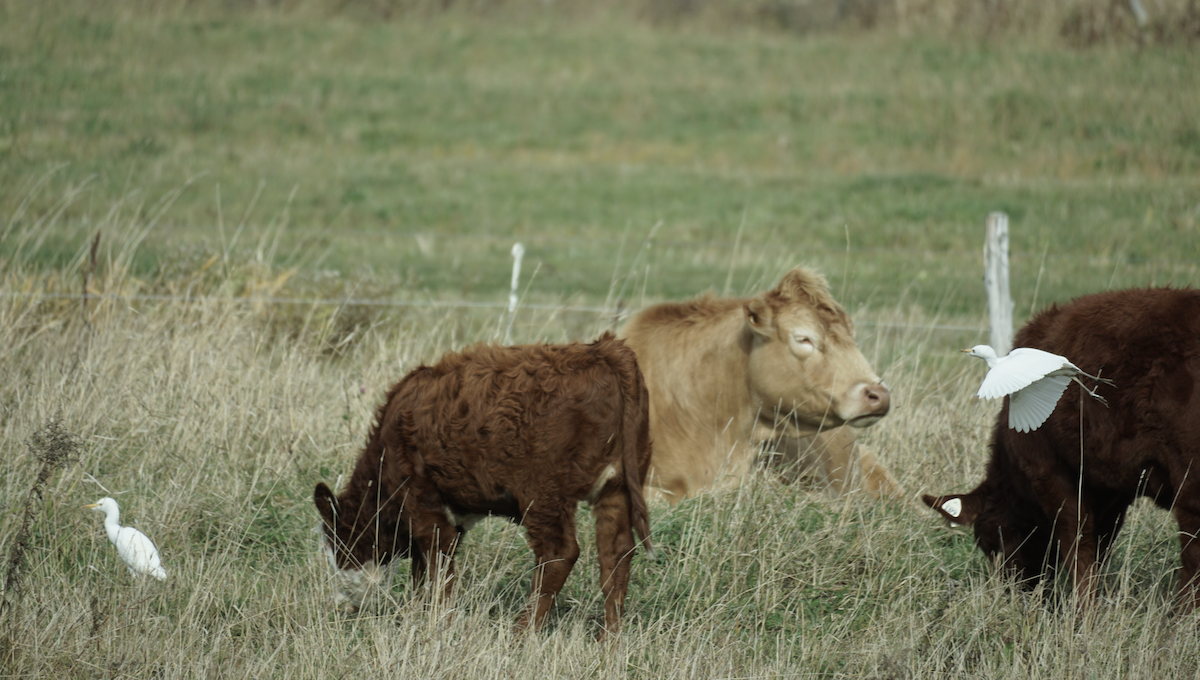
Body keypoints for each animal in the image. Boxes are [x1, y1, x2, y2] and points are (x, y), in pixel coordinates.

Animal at [313, 332, 653, 638]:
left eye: (337, 546)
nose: (342, 604)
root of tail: (604, 350)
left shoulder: (422, 503)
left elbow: (438, 569)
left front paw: (439, 625)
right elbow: (424, 572)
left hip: (543, 491)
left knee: (558, 553)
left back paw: (520, 634)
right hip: (616, 487)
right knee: (616, 555)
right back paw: (609, 642)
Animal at [923, 287, 1200, 609]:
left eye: (989, 540)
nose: (1012, 590)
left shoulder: (1049, 472)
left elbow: (1076, 542)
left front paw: (1084, 610)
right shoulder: (1110, 489)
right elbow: (1100, 544)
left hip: (1189, 481)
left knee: (1192, 555)